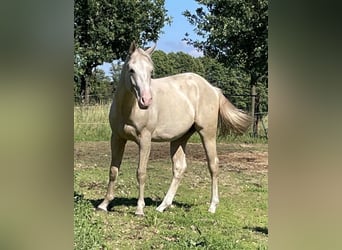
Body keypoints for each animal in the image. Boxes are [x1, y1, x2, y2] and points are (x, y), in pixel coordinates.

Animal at [96, 41, 251, 215]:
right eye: (131, 69)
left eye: (151, 71)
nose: (146, 100)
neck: (128, 109)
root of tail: (213, 89)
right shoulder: (117, 138)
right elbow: (113, 170)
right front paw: (104, 204)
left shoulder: (145, 140)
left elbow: (141, 173)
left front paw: (139, 209)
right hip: (179, 138)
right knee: (179, 168)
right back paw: (163, 206)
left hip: (207, 134)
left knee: (213, 165)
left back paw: (212, 206)